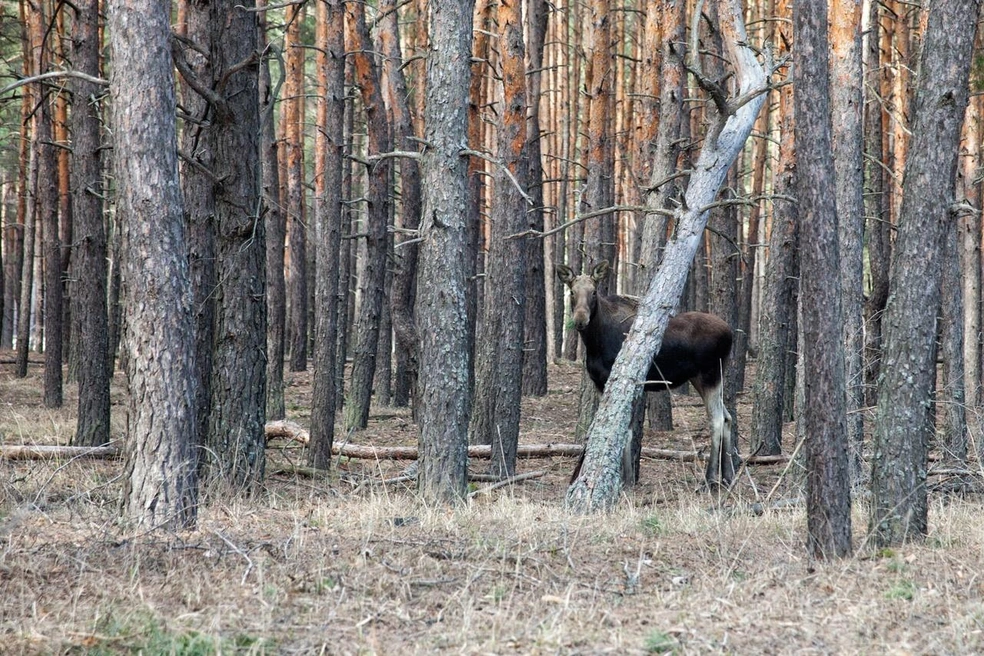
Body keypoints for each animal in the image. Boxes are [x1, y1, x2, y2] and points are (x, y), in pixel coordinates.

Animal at [556, 260, 736, 486]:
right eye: (572, 292)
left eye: (594, 292)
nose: (580, 320)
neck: (595, 343)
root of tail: (731, 333)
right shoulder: (600, 383)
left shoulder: (626, 382)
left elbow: (625, 431)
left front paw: (626, 479)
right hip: (702, 378)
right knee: (728, 417)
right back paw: (728, 476)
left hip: (709, 375)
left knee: (717, 420)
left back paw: (710, 478)